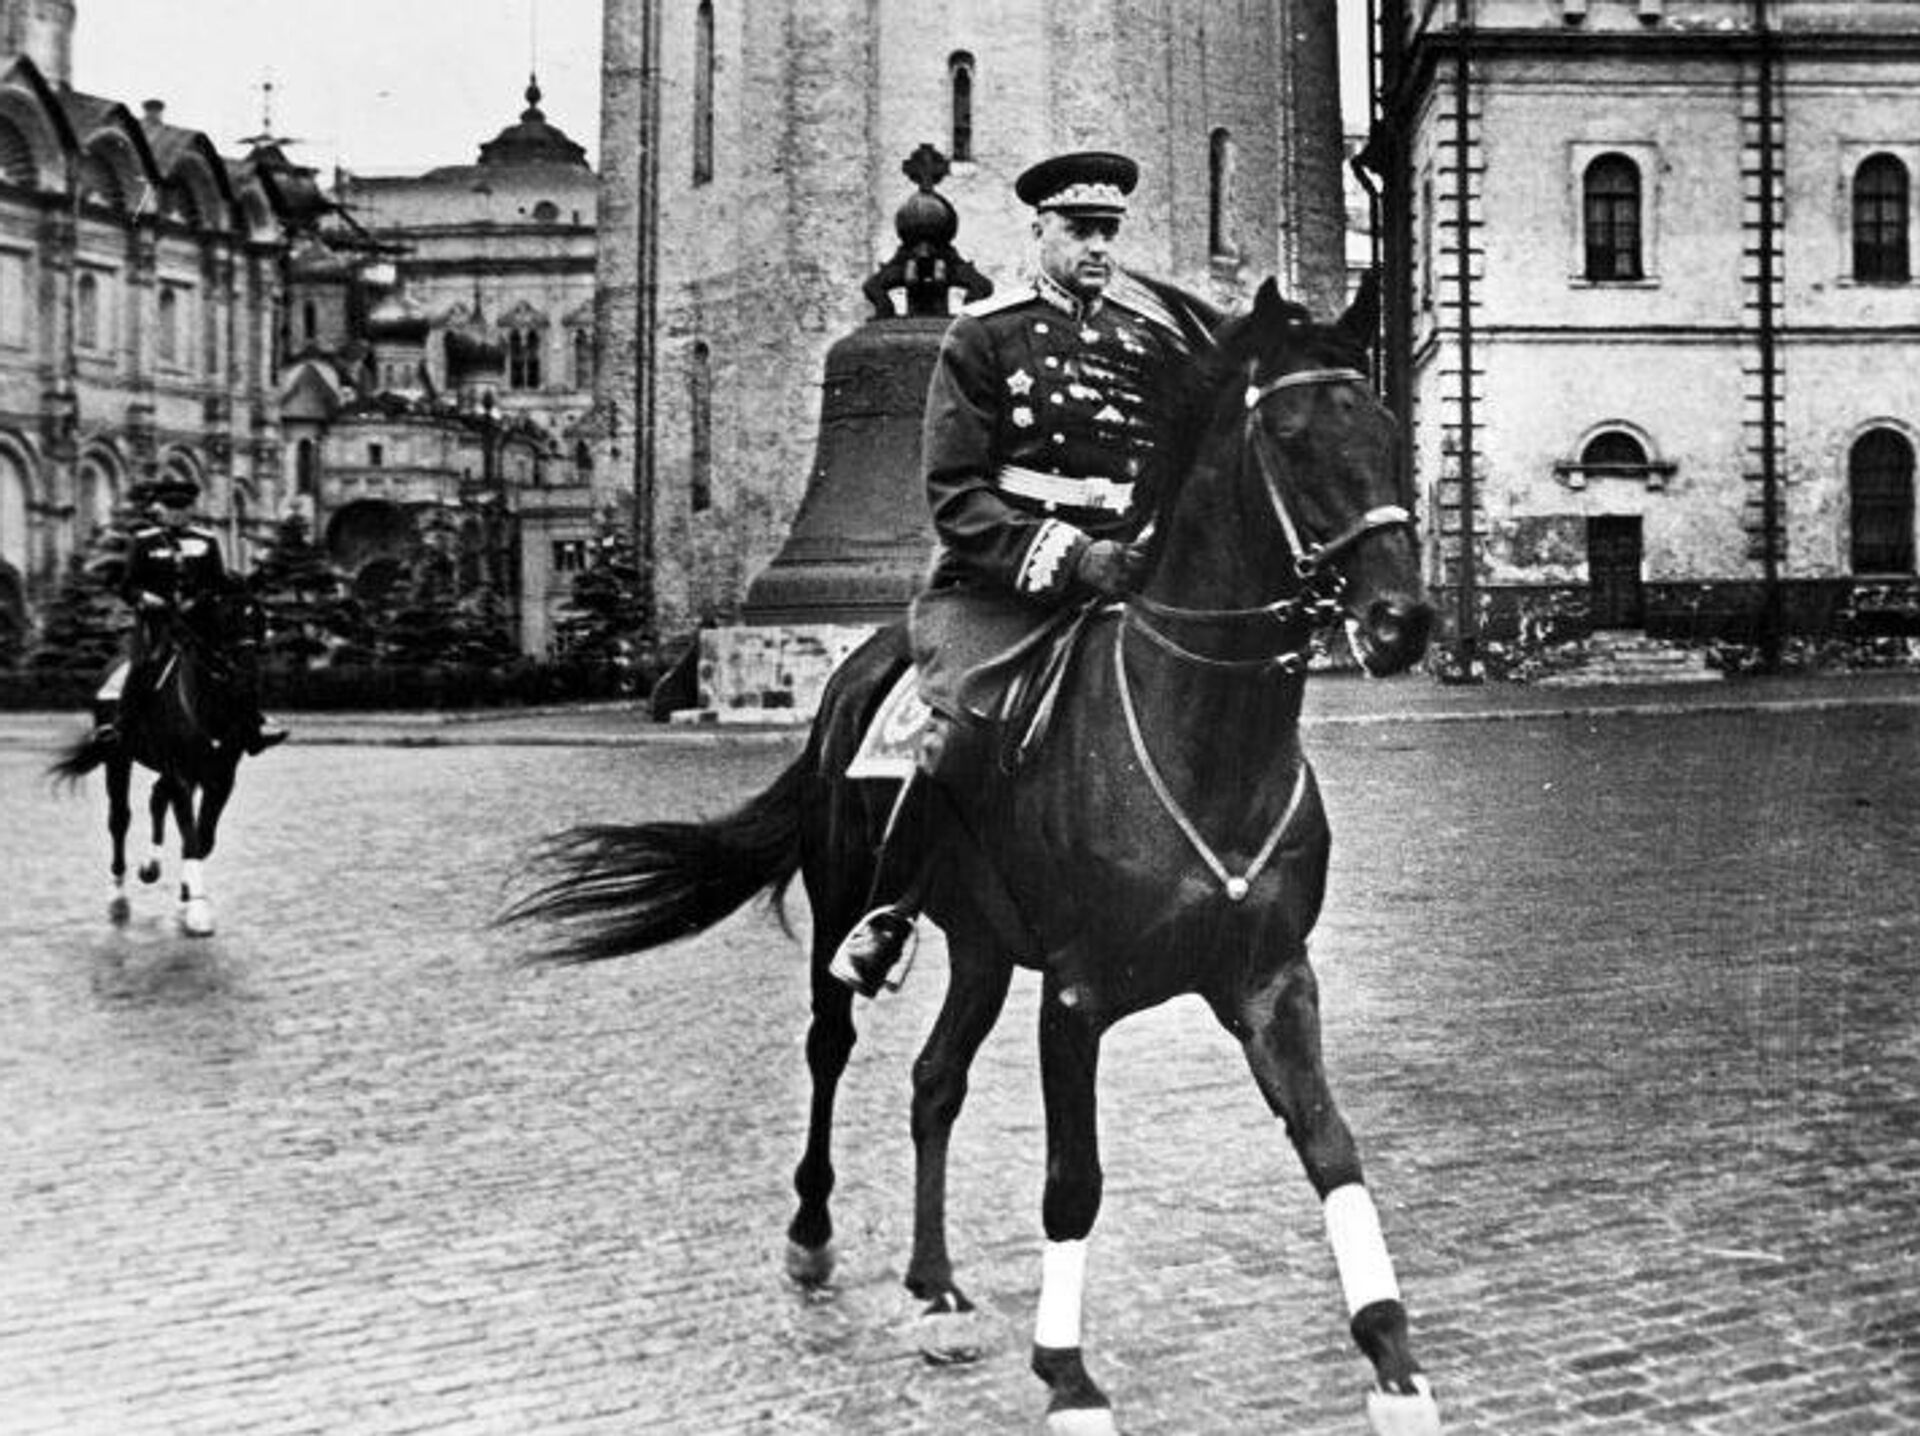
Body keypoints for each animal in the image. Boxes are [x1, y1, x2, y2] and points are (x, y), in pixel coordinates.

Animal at [52, 577, 267, 937]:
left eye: (258, 619)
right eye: (225, 620)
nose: (247, 680)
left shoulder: (220, 776)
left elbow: (202, 839)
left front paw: (187, 896)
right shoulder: (182, 773)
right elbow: (191, 837)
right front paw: (197, 909)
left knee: (157, 797)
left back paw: (151, 867)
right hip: (118, 759)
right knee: (120, 819)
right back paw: (118, 897)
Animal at [506, 276, 1443, 1435]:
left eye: (1390, 428)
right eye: (1290, 432)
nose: (1402, 621)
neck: (1201, 737)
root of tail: (861, 662)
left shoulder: (1271, 979)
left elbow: (1330, 1146)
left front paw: (1393, 1358)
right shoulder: (1078, 997)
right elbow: (1073, 1181)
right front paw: (1069, 1373)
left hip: (986, 949)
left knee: (933, 1081)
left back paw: (936, 1284)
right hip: (844, 915)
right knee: (830, 1050)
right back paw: (812, 1236)